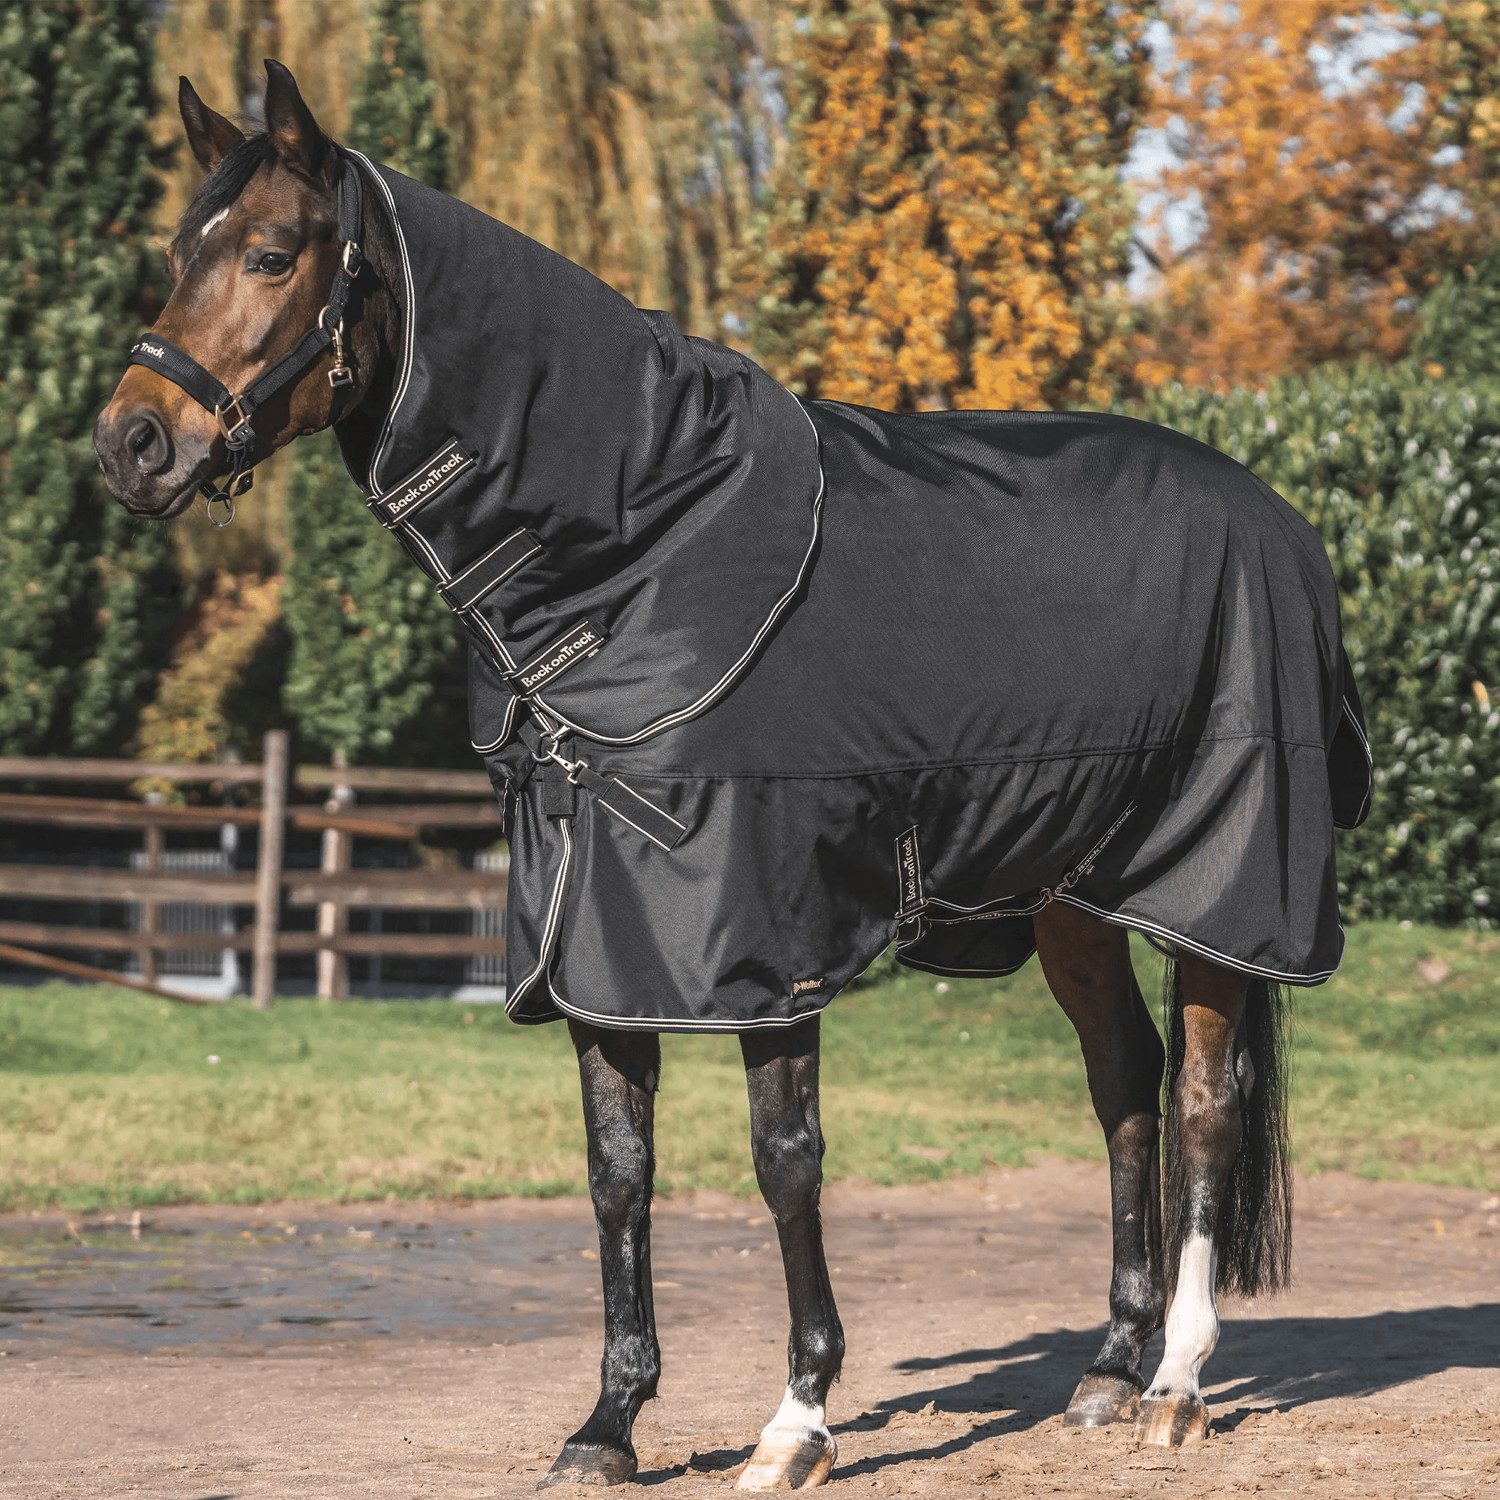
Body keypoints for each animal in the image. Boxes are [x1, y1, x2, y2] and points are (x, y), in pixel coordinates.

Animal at [95, 61, 1371, 1490]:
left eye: (270, 253)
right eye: (175, 253)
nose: (131, 444)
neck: (648, 548)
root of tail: (1273, 515)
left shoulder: (765, 936)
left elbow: (785, 1162)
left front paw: (798, 1417)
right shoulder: (593, 935)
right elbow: (618, 1172)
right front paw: (607, 1425)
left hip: (1216, 885)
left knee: (1200, 1101)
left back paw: (1176, 1385)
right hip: (1074, 895)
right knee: (1123, 1089)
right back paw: (1104, 1369)